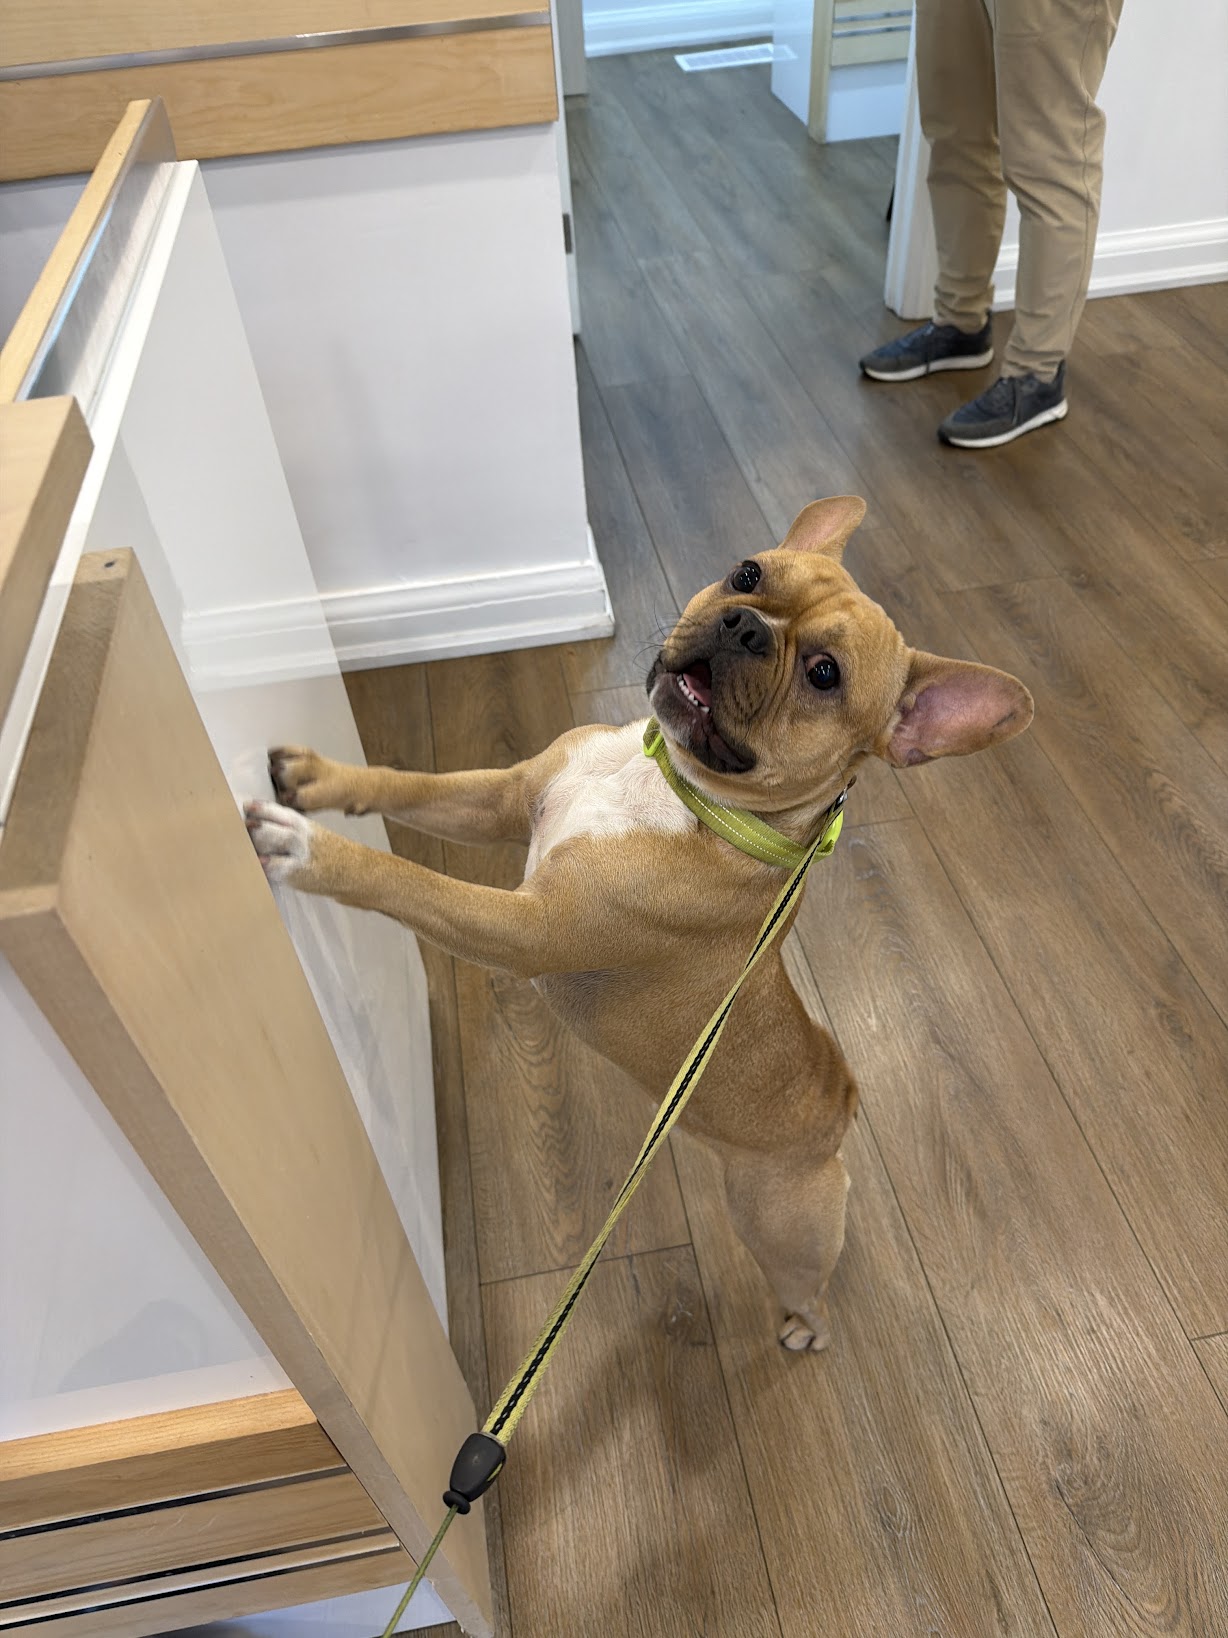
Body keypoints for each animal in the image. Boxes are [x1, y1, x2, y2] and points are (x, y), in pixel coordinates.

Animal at [245, 495, 1032, 1353]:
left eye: (825, 674)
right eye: (747, 572)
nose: (745, 625)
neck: (673, 783)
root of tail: (842, 1098)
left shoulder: (524, 929)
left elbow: (409, 880)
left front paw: (307, 849)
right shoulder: (504, 797)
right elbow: (409, 785)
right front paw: (321, 780)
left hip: (778, 1217)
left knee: (809, 1279)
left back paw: (805, 1331)